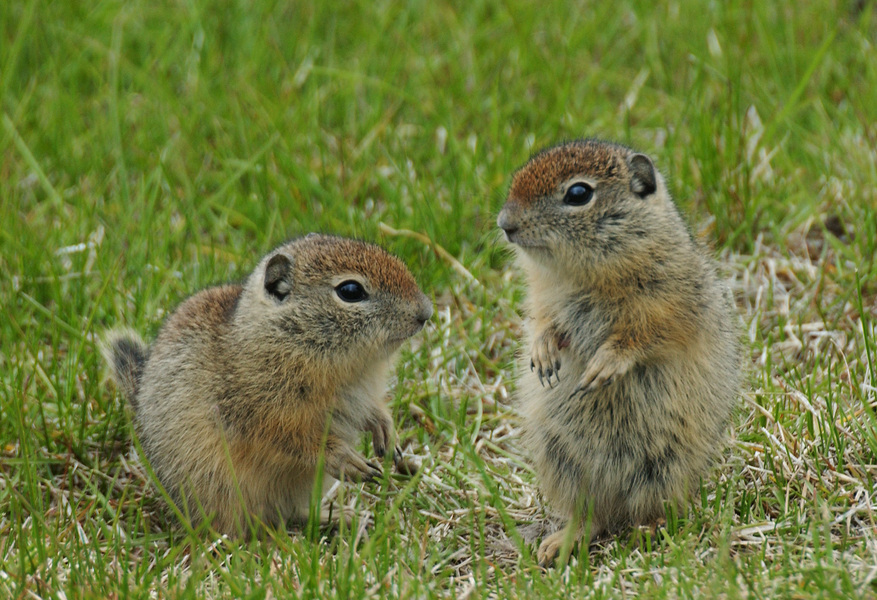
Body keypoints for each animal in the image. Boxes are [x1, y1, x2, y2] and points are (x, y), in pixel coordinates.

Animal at [102, 232, 432, 536]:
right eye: (350, 291)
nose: (426, 313)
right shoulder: (264, 414)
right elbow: (296, 438)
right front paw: (344, 457)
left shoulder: (360, 397)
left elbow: (373, 412)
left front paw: (388, 434)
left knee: (291, 514)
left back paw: (341, 518)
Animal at [500, 139, 740, 568]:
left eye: (579, 193)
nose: (504, 224)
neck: (583, 274)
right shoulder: (544, 301)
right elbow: (544, 322)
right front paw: (542, 354)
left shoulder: (670, 303)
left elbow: (642, 336)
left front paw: (603, 367)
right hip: (561, 461)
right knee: (591, 516)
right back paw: (556, 545)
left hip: (664, 465)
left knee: (656, 509)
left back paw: (649, 529)